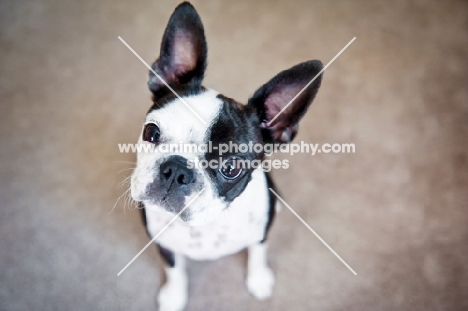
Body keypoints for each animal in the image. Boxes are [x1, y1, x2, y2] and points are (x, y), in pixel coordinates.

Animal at [130, 1, 324, 310]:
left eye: (231, 169)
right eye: (151, 132)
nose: (176, 170)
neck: (206, 226)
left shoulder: (260, 234)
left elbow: (258, 253)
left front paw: (259, 280)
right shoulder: (162, 244)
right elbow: (174, 270)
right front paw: (174, 297)